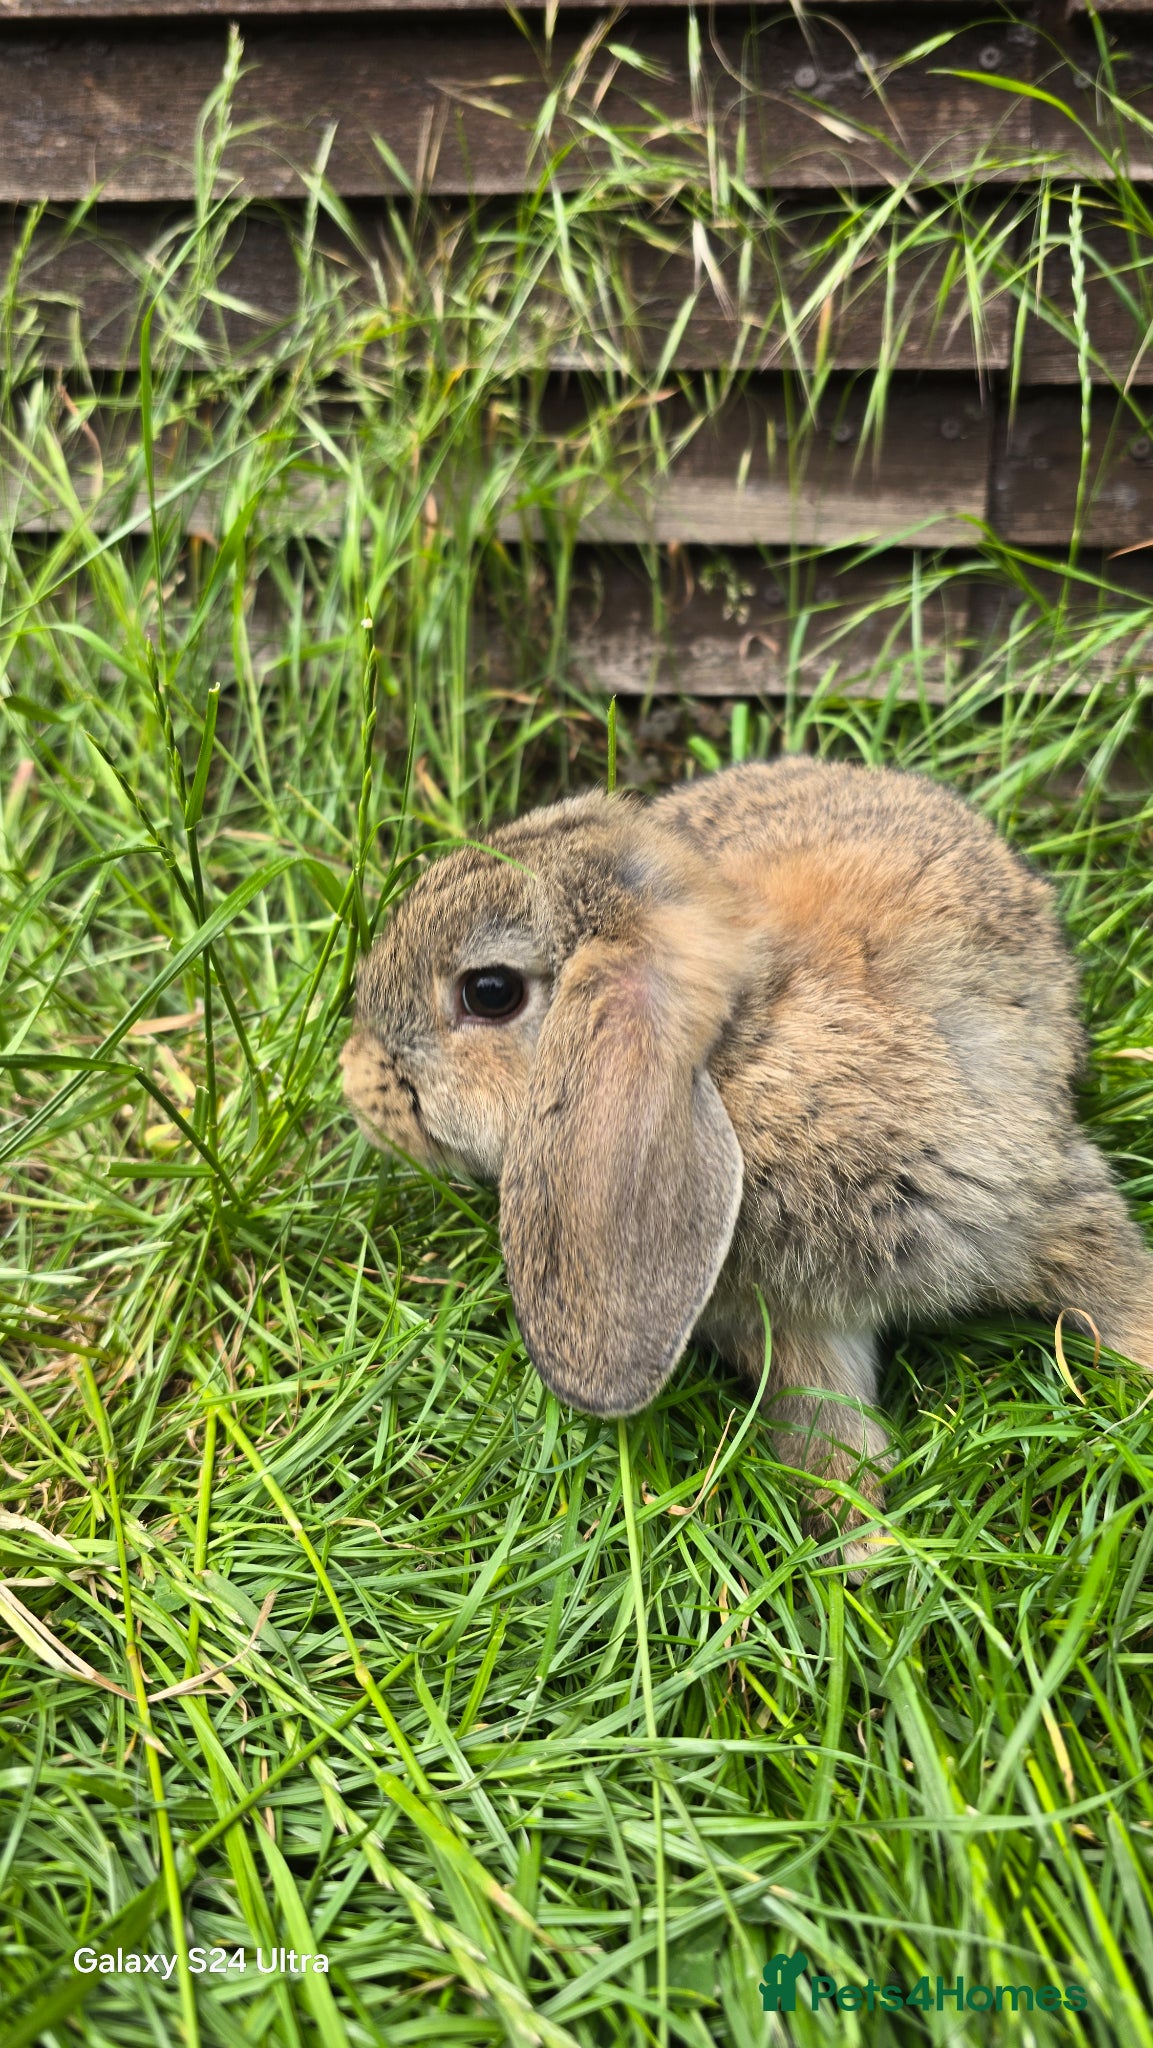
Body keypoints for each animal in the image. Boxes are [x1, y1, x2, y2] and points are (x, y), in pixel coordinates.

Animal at [341, 758, 1153, 1563]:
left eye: (489, 991)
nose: (355, 1080)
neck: (742, 1052)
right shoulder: (796, 1326)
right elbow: (828, 1427)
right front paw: (862, 1544)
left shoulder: (1036, 1201)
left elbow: (1118, 1291)